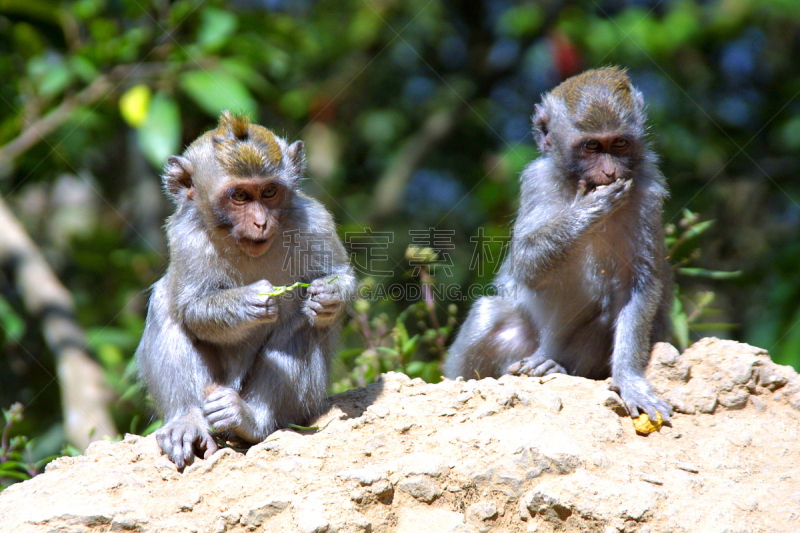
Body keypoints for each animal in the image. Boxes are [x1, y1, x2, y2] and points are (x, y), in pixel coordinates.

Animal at [137, 112, 356, 466]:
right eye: (239, 196)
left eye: (269, 192)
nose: (260, 222)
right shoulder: (186, 239)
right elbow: (191, 309)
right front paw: (251, 301)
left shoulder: (315, 221)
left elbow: (339, 275)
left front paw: (329, 298)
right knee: (165, 307)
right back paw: (186, 420)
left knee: (299, 324)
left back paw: (249, 420)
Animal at [446, 66, 672, 422]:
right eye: (592, 146)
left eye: (619, 143)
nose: (610, 172)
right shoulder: (537, 181)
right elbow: (525, 263)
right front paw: (588, 210)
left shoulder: (648, 194)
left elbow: (641, 284)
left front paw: (630, 380)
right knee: (490, 313)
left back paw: (555, 366)